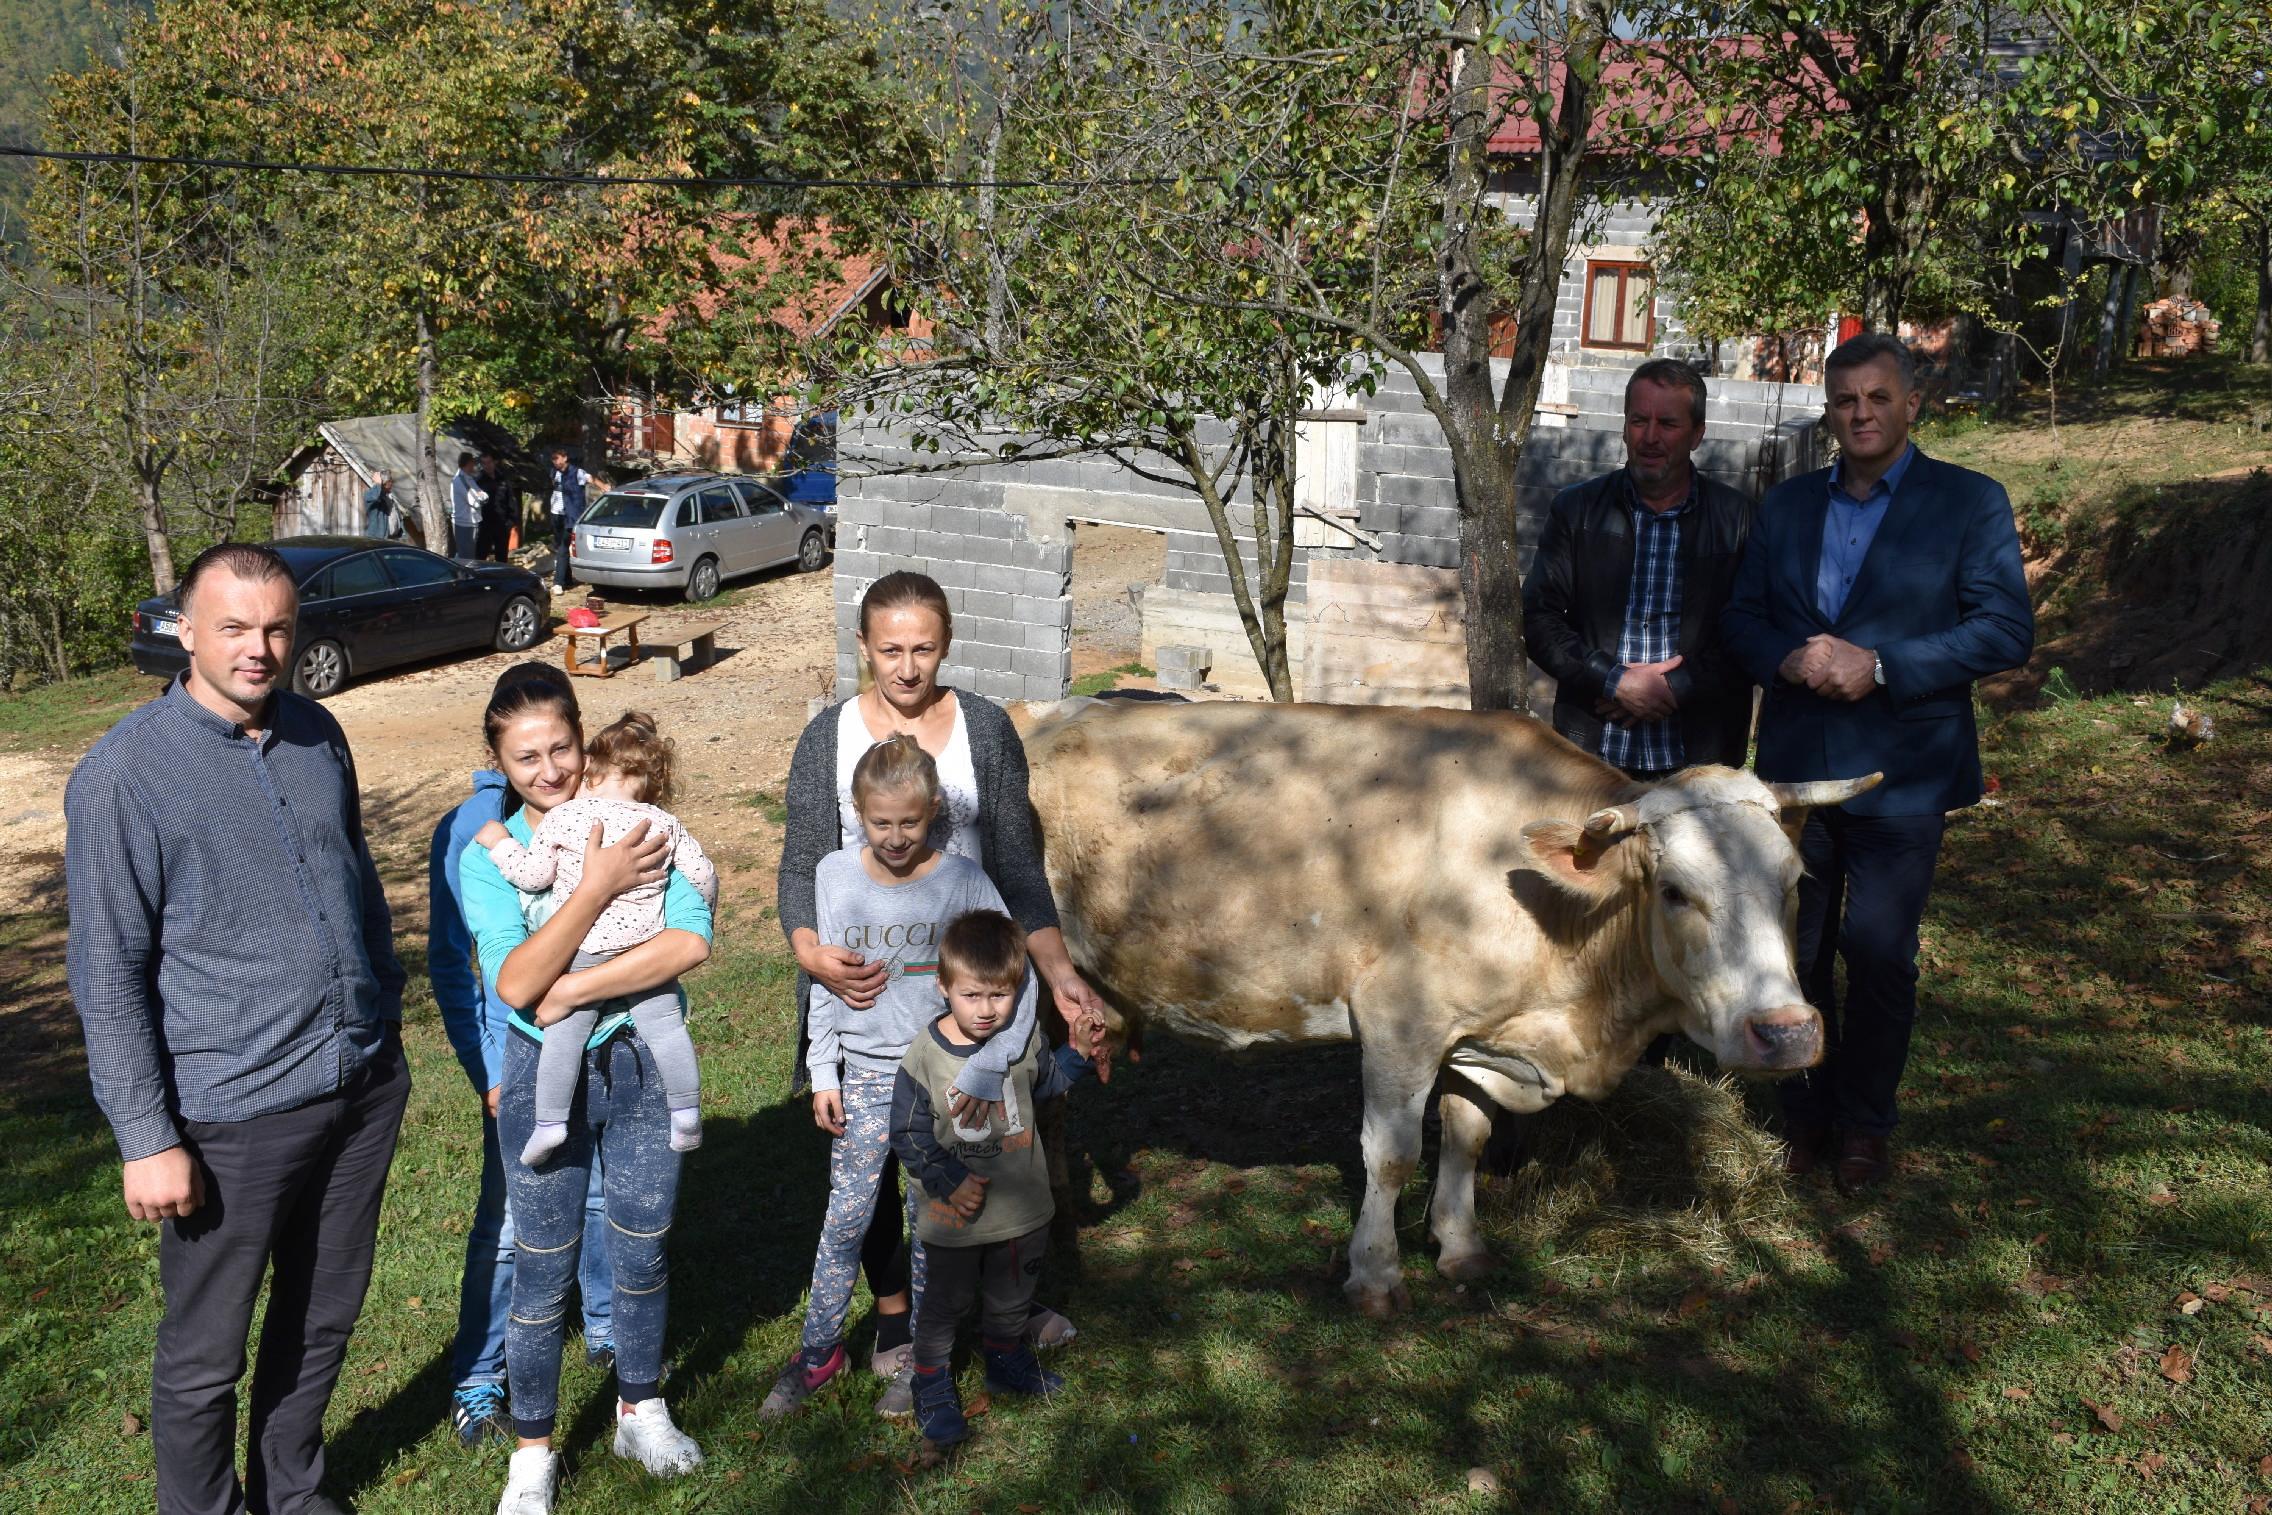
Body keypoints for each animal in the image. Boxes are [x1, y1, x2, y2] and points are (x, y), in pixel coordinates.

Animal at [1022, 695, 1872, 1308]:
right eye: (1674, 890)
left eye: (1795, 880)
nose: (1787, 1032)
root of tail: (1042, 711)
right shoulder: (1399, 1023)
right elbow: (1393, 1153)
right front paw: (1375, 1275)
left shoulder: (1483, 1036)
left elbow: (1466, 1136)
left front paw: (1460, 1247)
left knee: (1050, 1106)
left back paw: (1058, 1218)